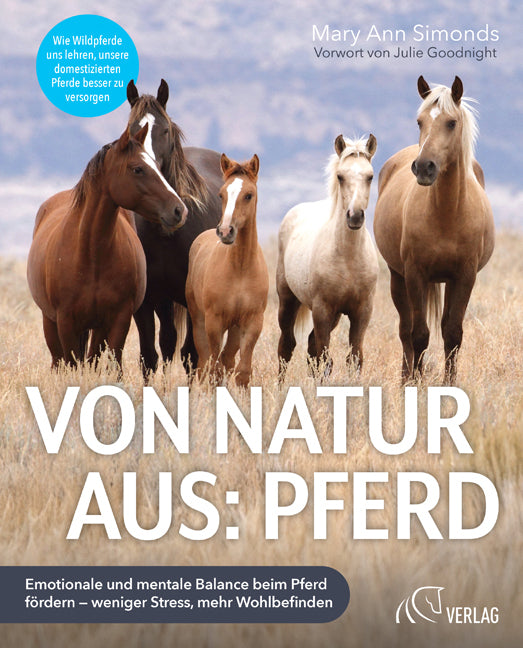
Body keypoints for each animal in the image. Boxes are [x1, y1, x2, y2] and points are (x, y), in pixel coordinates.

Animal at [27, 123, 188, 370]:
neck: (91, 254)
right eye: (138, 169)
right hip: (50, 321)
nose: (179, 210)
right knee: (58, 360)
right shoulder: (65, 321)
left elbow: (110, 361)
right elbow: (72, 362)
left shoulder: (118, 319)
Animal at [126, 79, 223, 376]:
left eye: (165, 129)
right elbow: (149, 356)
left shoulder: (191, 299)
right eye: (131, 130)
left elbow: (191, 354)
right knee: (167, 341)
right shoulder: (146, 302)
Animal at [185, 154, 269, 387]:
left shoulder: (252, 321)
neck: (240, 268)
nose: (225, 231)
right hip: (199, 320)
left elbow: (242, 371)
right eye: (221, 194)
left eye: (249, 195)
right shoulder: (214, 322)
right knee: (205, 363)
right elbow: (213, 369)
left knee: (227, 360)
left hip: (234, 328)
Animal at [276, 134, 379, 379]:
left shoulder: (362, 311)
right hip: (288, 301)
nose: (355, 216)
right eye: (340, 176)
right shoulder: (322, 310)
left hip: (334, 316)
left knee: (310, 345)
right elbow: (326, 359)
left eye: (370, 176)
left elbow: (354, 358)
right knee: (287, 346)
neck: (348, 258)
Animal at [373, 76, 495, 384]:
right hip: (398, 277)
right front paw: (414, 382)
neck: (447, 215)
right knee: (406, 330)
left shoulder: (464, 276)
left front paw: (449, 383)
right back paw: (406, 377)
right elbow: (418, 335)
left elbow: (452, 333)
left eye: (451, 122)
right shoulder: (415, 274)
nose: (423, 167)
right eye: (420, 121)